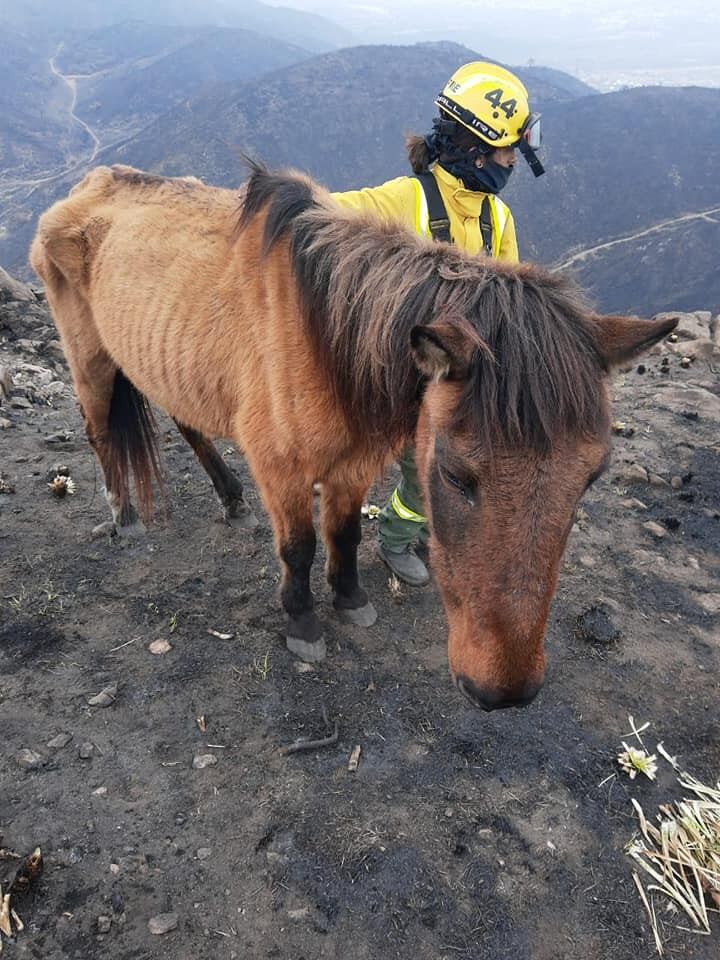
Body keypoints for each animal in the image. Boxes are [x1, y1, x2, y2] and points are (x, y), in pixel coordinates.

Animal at [31, 161, 676, 708]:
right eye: (454, 473)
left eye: (590, 478)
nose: (505, 691)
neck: (322, 331)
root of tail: (83, 188)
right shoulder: (281, 469)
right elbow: (299, 547)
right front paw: (302, 621)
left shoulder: (356, 461)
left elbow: (343, 533)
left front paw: (349, 599)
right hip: (90, 358)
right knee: (99, 431)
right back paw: (125, 515)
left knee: (186, 420)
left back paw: (230, 498)